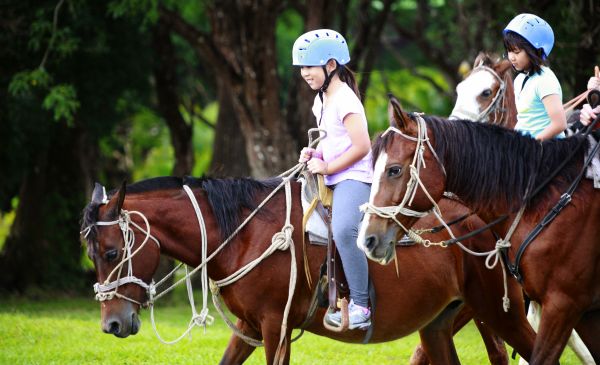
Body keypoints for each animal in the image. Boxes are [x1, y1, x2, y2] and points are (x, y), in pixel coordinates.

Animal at [81, 175, 536, 362]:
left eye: (110, 252)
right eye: (90, 256)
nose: (111, 324)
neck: (244, 233)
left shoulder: (275, 327)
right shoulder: (249, 327)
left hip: (498, 311)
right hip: (441, 323)